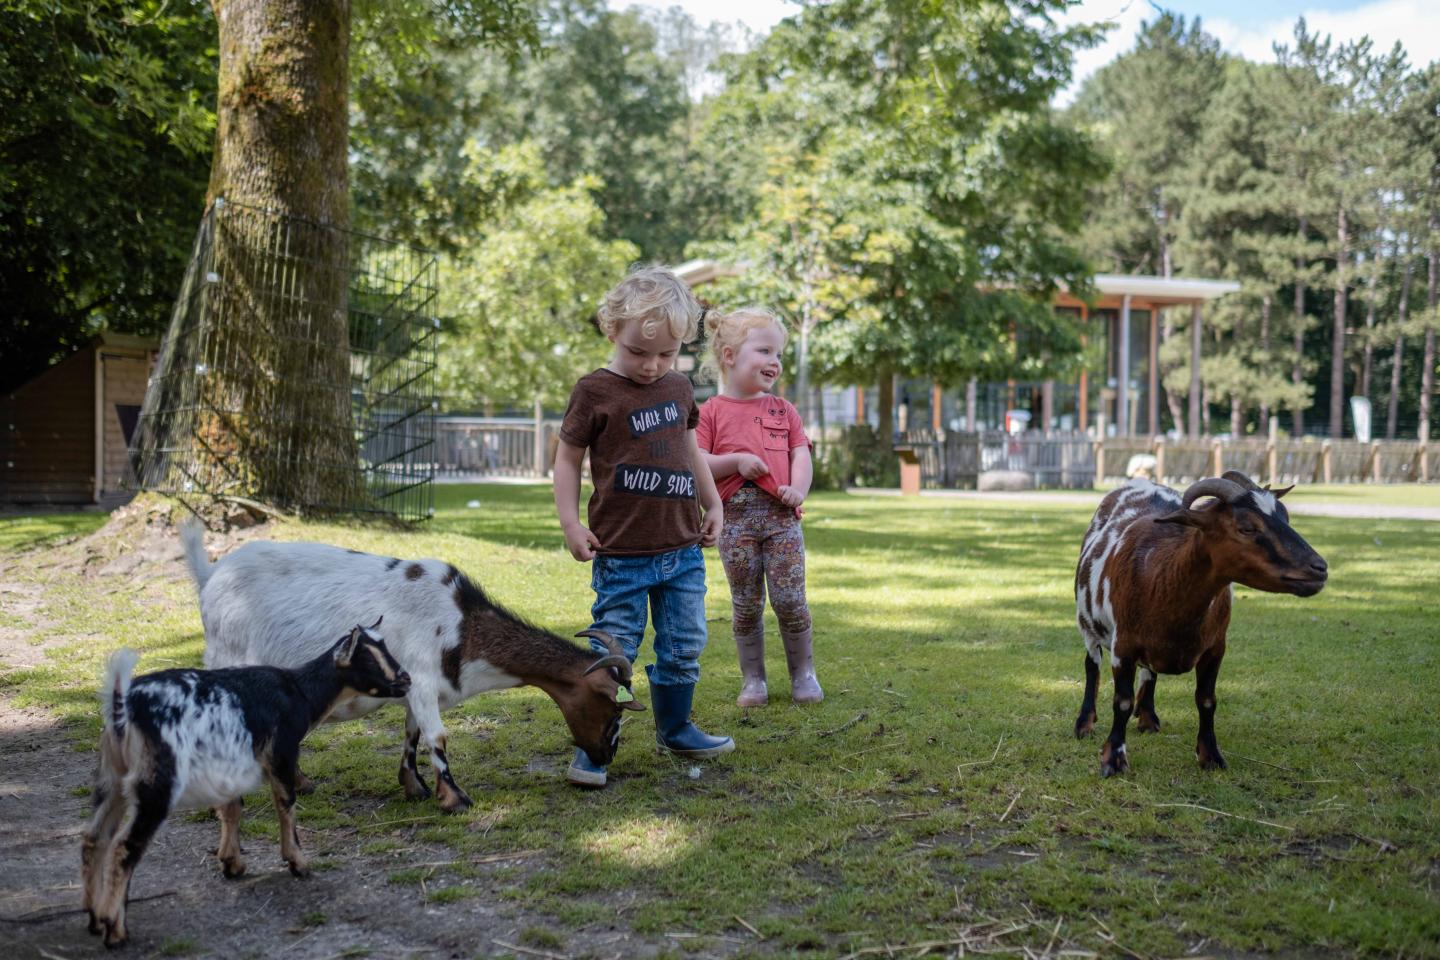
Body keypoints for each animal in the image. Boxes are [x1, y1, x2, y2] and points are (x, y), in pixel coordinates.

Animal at [82, 627, 411, 949]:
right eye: (366, 659)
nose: (406, 680)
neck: (298, 691)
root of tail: (124, 707)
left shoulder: (231, 764)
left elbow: (231, 808)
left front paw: (232, 863)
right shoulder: (281, 752)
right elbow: (286, 802)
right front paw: (298, 862)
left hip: (112, 777)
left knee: (95, 837)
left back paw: (95, 918)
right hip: (157, 781)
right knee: (124, 846)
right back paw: (115, 930)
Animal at [182, 526, 645, 811]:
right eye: (614, 708)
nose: (606, 755)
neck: (461, 625)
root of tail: (211, 576)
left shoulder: (418, 689)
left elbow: (413, 735)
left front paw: (415, 787)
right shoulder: (421, 678)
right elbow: (438, 737)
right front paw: (455, 799)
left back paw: (300, 783)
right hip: (228, 662)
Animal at [1071, 472, 1324, 782]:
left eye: (1286, 517)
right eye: (1246, 527)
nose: (1319, 568)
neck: (1160, 573)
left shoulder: (1215, 648)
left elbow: (1206, 700)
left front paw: (1211, 756)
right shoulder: (1123, 647)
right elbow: (1122, 701)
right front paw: (1113, 760)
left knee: (1149, 672)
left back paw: (1148, 718)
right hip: (1087, 624)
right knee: (1092, 665)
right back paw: (1085, 724)